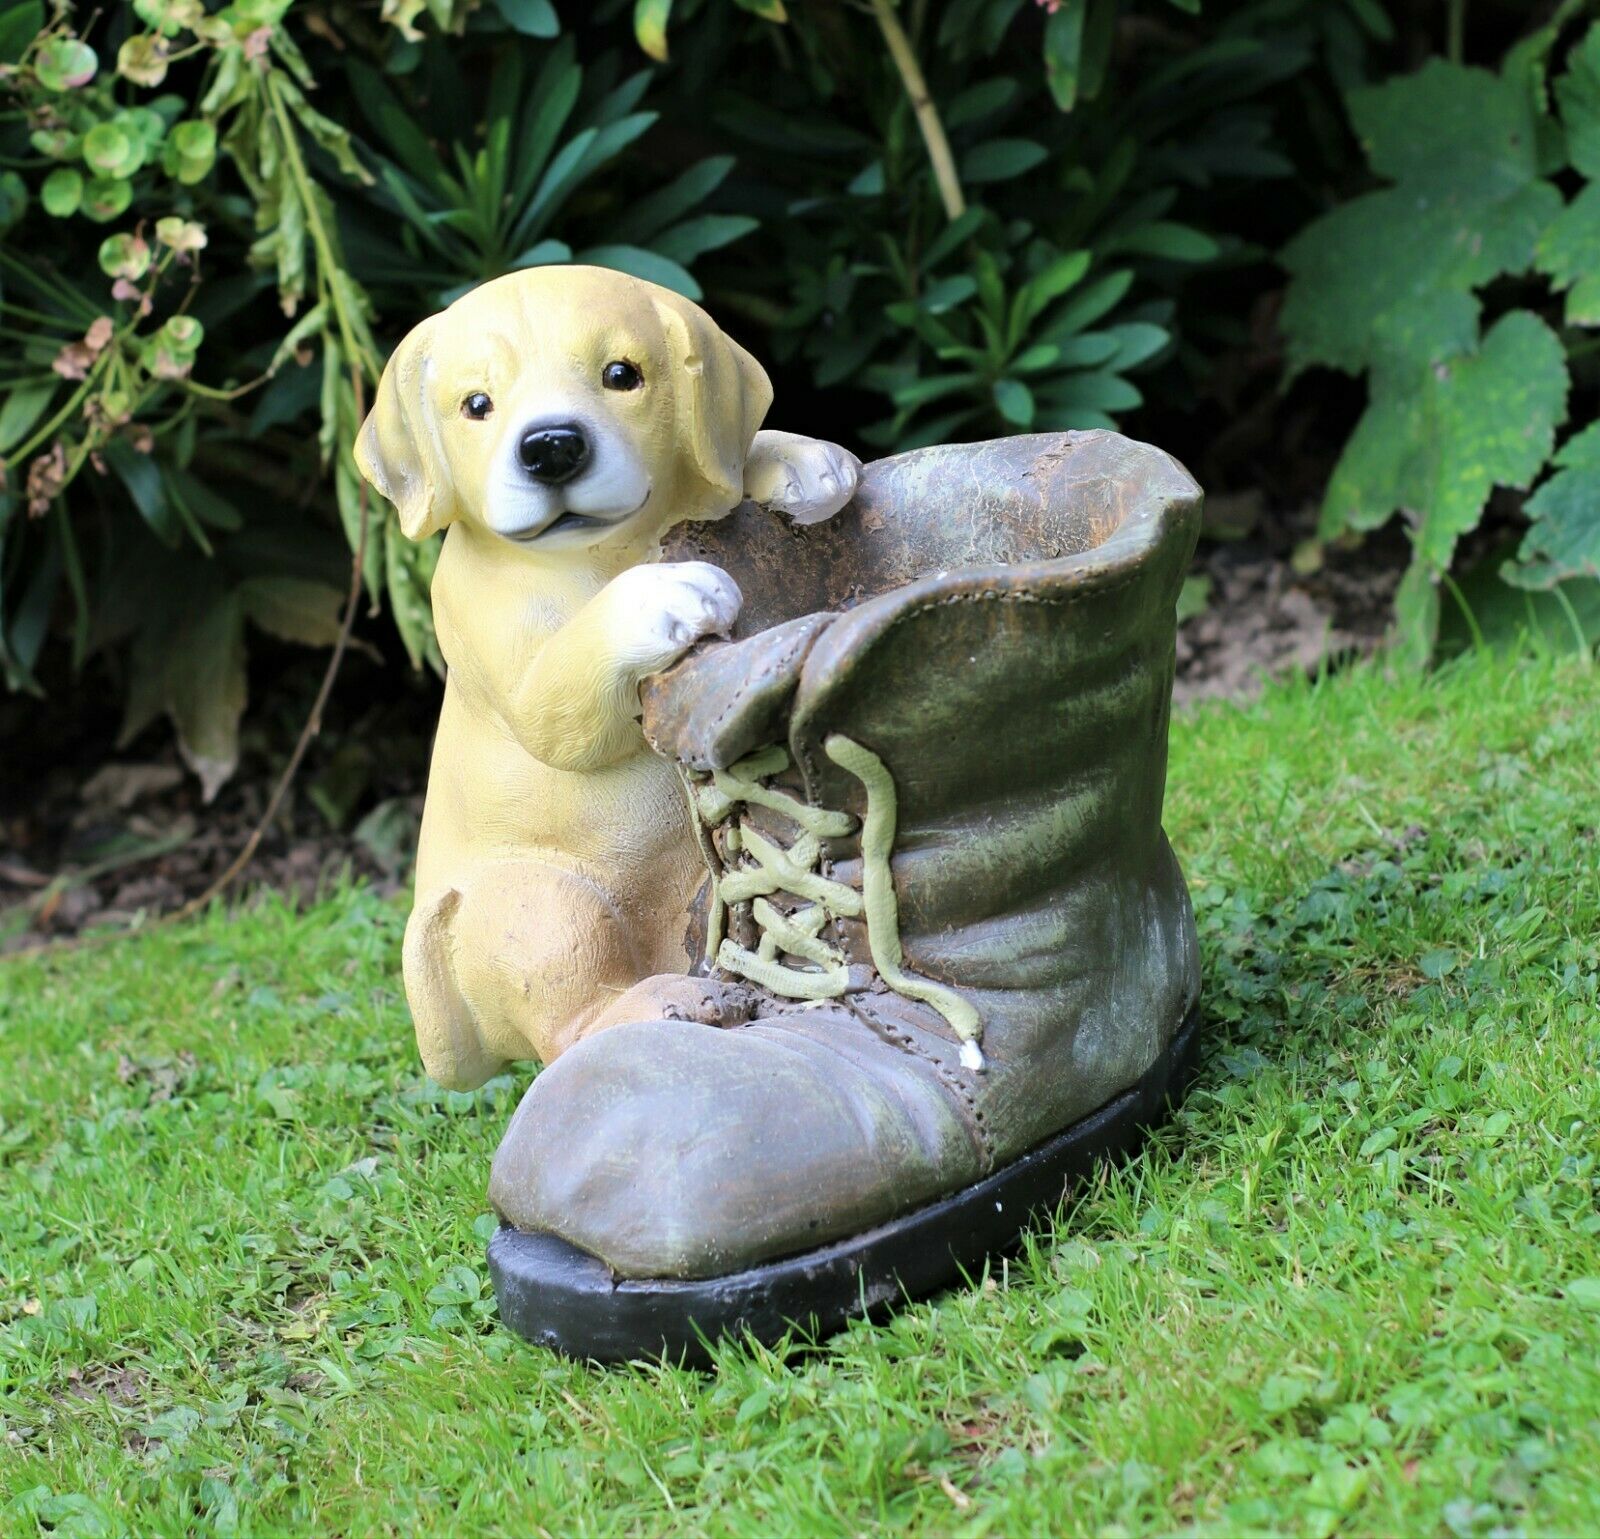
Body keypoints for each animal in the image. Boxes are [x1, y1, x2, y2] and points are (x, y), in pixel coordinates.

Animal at [360, 263, 864, 1087]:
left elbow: (723, 469)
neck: (597, 551)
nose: (551, 446)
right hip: (542, 906)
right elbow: (561, 700)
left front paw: (799, 458)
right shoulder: (507, 653)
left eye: (621, 376)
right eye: (477, 404)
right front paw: (668, 592)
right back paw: (664, 1002)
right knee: (571, 1025)